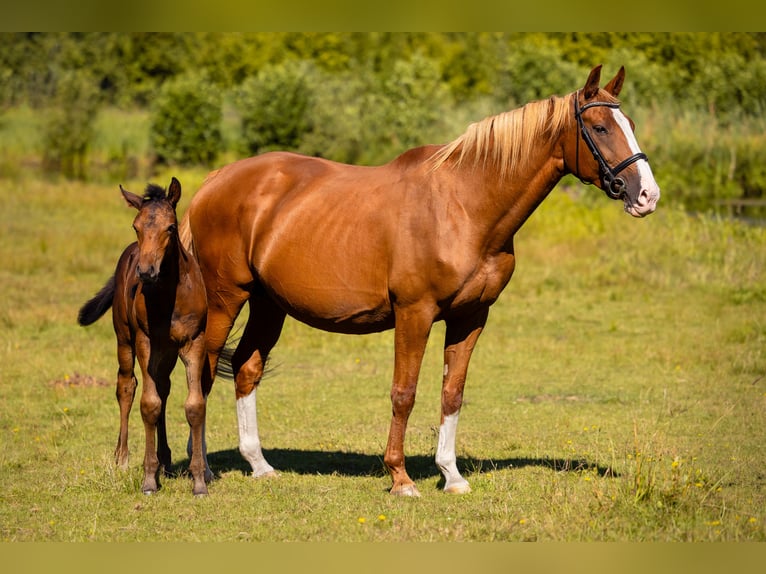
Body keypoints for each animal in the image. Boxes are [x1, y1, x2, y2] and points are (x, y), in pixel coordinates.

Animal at [78, 178, 212, 498]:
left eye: (171, 227)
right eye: (135, 226)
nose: (146, 272)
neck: (170, 296)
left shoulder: (194, 341)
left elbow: (194, 405)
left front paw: (199, 480)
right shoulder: (145, 341)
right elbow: (149, 404)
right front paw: (149, 479)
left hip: (167, 351)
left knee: (162, 387)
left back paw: (164, 458)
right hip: (125, 340)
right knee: (126, 386)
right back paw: (123, 458)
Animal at [178, 63, 660, 498]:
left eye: (631, 125)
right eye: (599, 127)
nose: (646, 195)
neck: (463, 206)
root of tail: (214, 181)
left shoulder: (471, 317)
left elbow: (452, 393)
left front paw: (451, 475)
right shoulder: (415, 314)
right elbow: (404, 393)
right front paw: (401, 478)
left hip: (267, 303)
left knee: (246, 369)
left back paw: (259, 465)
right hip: (226, 299)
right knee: (203, 373)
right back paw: (201, 470)